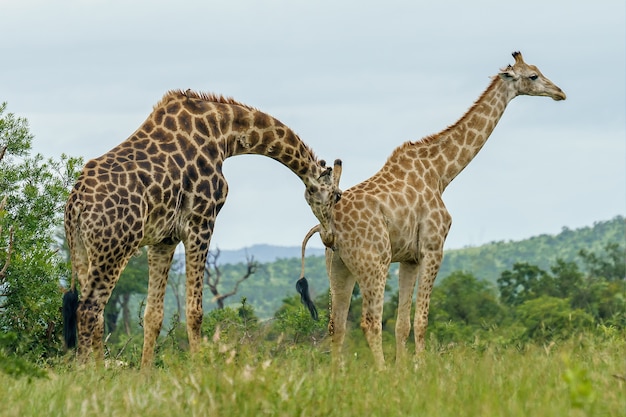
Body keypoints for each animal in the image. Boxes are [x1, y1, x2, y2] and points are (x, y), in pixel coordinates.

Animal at [63, 89, 342, 366]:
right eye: (337, 196)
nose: (330, 237)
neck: (223, 132)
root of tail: (76, 204)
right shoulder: (201, 222)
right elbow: (195, 312)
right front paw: (198, 370)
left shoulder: (163, 240)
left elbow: (153, 315)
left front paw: (145, 374)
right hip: (114, 249)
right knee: (88, 310)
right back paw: (87, 373)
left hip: (83, 251)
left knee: (97, 314)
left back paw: (100, 371)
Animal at [298, 51, 564, 368]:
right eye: (533, 76)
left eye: (538, 70)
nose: (560, 92)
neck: (441, 172)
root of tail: (325, 225)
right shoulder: (433, 247)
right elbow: (421, 320)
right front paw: (419, 367)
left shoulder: (410, 257)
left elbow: (402, 324)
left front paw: (404, 369)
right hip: (374, 262)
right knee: (369, 321)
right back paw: (380, 371)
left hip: (338, 266)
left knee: (336, 325)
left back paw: (340, 373)